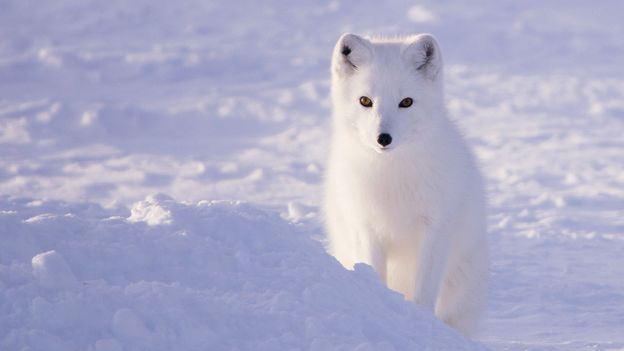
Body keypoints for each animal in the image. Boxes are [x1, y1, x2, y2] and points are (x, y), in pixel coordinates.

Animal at [324, 33, 490, 338]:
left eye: (406, 102)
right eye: (365, 100)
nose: (383, 138)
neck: (392, 177)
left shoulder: (435, 228)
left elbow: (424, 292)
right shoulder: (366, 227)